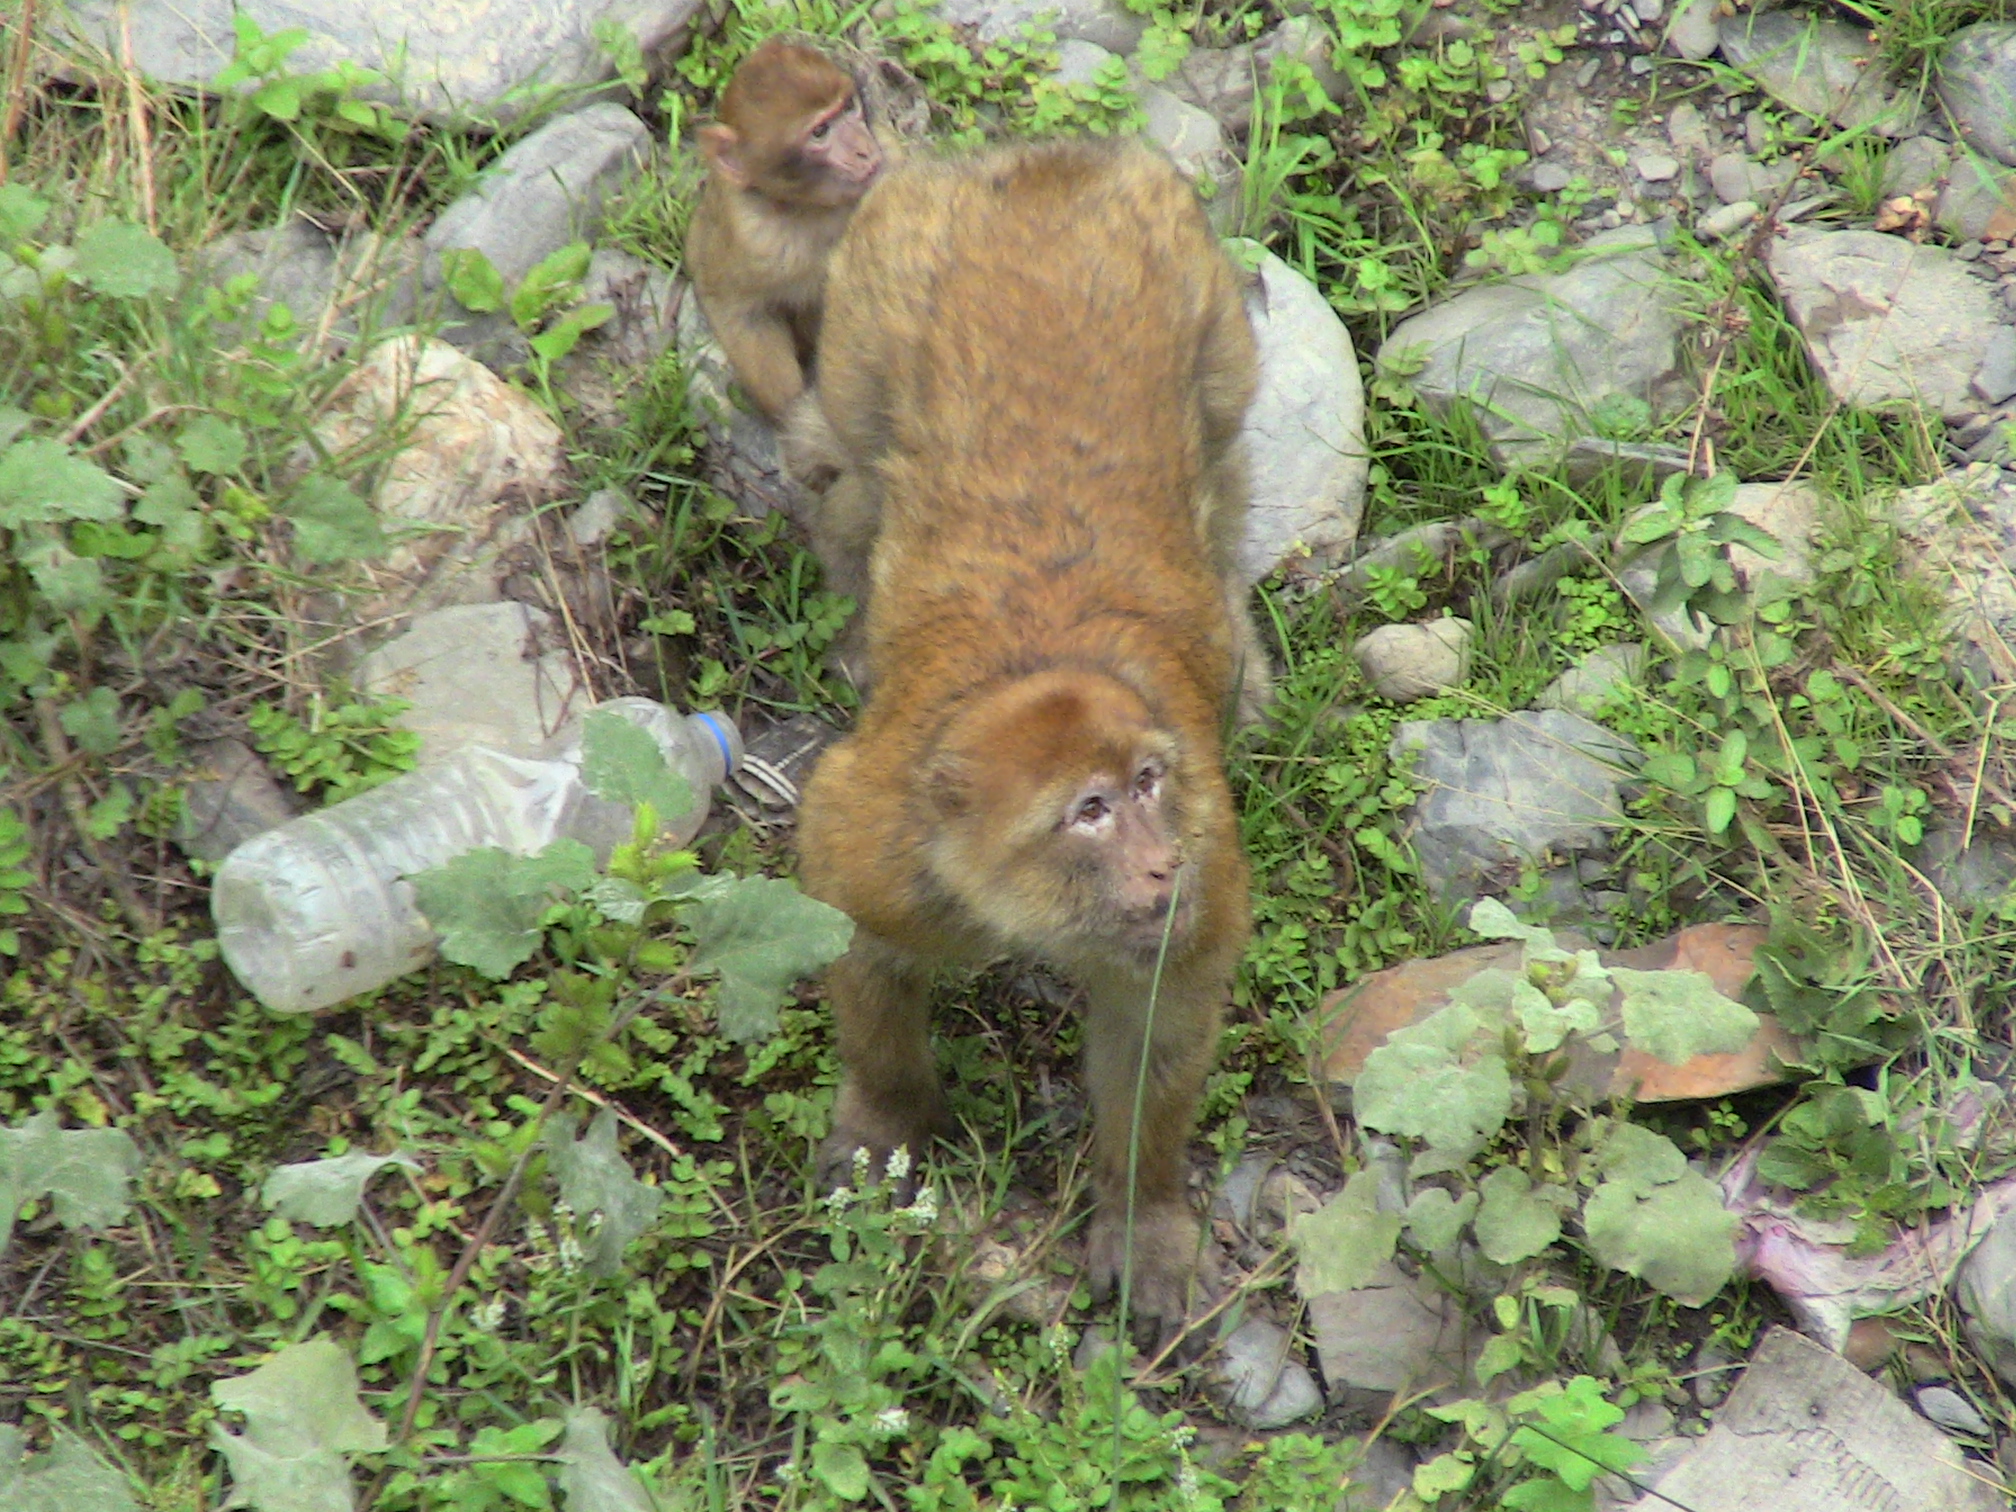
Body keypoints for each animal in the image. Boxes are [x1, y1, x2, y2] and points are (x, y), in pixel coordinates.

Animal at [685, 37, 884, 424]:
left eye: (848, 107)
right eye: (819, 132)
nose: (864, 150)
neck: (807, 209)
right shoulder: (753, 240)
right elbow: (737, 310)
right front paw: (798, 413)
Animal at [793, 139, 1261, 1337]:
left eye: (1148, 784)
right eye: (1087, 813)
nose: (1162, 861)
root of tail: (1049, 169)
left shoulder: (1206, 866)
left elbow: (1157, 1025)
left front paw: (1140, 1215)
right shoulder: (878, 853)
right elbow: (861, 953)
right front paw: (887, 1116)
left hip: (1204, 296)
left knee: (1224, 439)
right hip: (878, 279)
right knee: (852, 440)